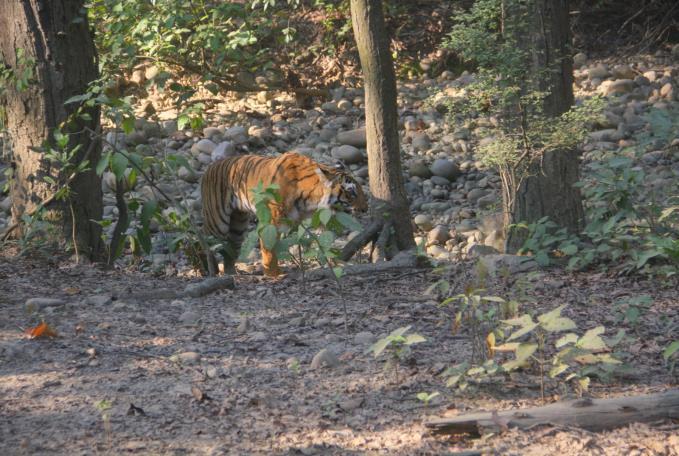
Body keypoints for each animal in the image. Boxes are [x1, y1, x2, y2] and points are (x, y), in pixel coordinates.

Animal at [199, 152, 370, 274]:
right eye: (351, 193)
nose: (365, 209)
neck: (311, 200)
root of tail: (209, 168)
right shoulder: (271, 223)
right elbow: (269, 250)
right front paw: (274, 275)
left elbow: (324, 242)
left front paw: (336, 264)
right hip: (218, 222)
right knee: (206, 240)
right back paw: (210, 271)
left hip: (238, 226)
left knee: (230, 249)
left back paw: (230, 273)